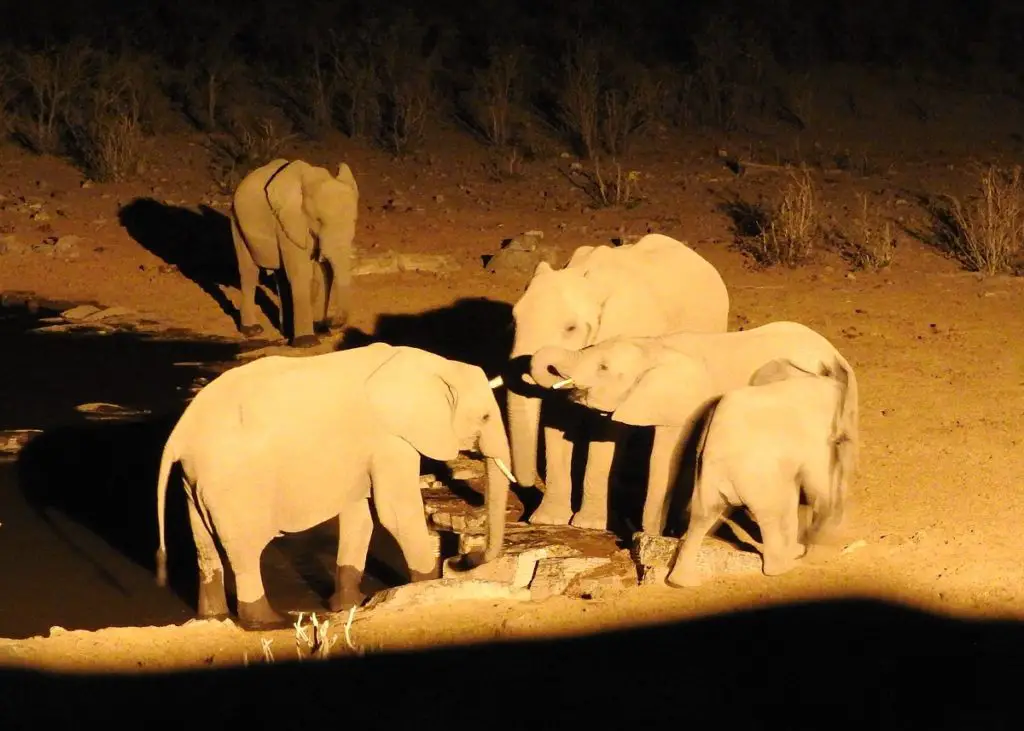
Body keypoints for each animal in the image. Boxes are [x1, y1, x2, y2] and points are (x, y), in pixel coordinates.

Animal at [154, 344, 516, 630]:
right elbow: (395, 513)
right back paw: (268, 621)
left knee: (205, 546)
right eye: (485, 417)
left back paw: (213, 617)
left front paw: (348, 604)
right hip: (232, 484)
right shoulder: (389, 439)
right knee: (245, 551)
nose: (463, 560)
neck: (437, 366)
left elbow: (361, 515)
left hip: (195, 482)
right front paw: (425, 587)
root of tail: (179, 434)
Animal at [229, 155, 360, 348]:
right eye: (319, 220)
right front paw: (308, 343)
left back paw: (286, 331)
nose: (330, 323)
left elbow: (320, 273)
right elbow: (302, 272)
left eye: (354, 220)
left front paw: (319, 331)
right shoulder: (288, 222)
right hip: (237, 221)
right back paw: (252, 330)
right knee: (249, 272)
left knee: (281, 277)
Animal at [501, 232, 729, 528]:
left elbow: (602, 426)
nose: (522, 483)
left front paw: (588, 525)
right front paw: (548, 520)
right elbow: (557, 416)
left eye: (571, 328)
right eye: (514, 321)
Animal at [528, 319, 856, 536]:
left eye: (603, 368)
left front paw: (650, 536)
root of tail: (836, 355)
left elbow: (666, 459)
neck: (654, 346)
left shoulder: (679, 405)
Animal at [667, 356, 860, 589]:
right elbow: (815, 485)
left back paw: (682, 582)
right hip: (754, 478)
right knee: (770, 515)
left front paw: (802, 547)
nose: (813, 541)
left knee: (702, 516)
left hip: (706, 478)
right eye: (843, 439)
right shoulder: (816, 438)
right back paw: (783, 568)